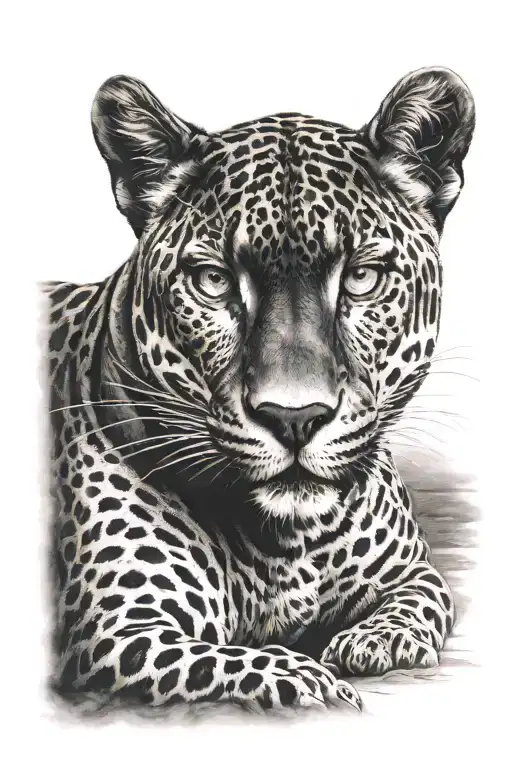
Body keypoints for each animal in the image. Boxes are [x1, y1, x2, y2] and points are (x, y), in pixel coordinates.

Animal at [44, 66, 475, 714]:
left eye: (361, 277)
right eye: (214, 281)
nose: (294, 418)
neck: (293, 544)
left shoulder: (413, 571)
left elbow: (424, 600)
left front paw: (373, 640)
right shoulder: (119, 633)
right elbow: (255, 667)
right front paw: (327, 688)